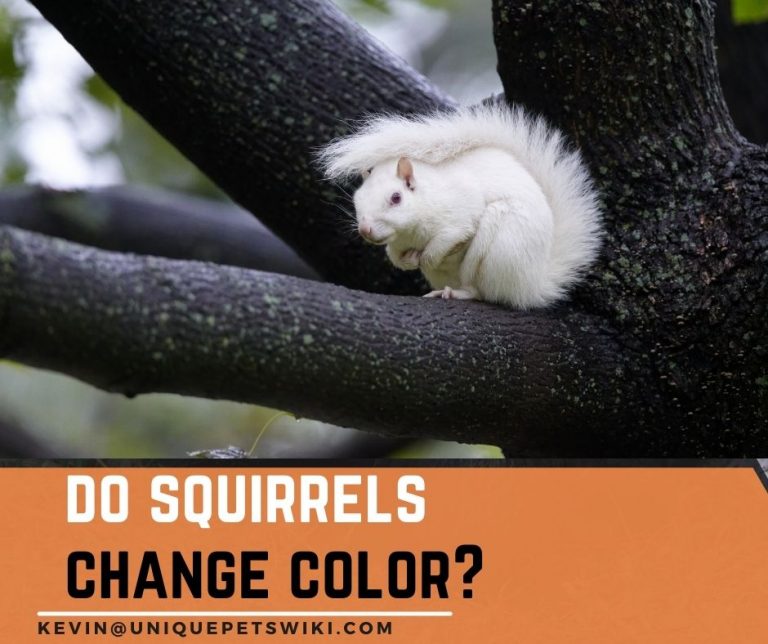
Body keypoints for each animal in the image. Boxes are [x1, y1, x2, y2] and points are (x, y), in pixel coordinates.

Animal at [318, 103, 602, 308]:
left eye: (396, 198)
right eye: (357, 199)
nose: (365, 230)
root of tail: (531, 286)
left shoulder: (460, 212)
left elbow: (450, 238)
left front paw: (427, 256)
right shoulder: (395, 243)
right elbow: (395, 257)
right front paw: (408, 262)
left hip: (498, 246)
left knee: (484, 293)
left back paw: (461, 293)